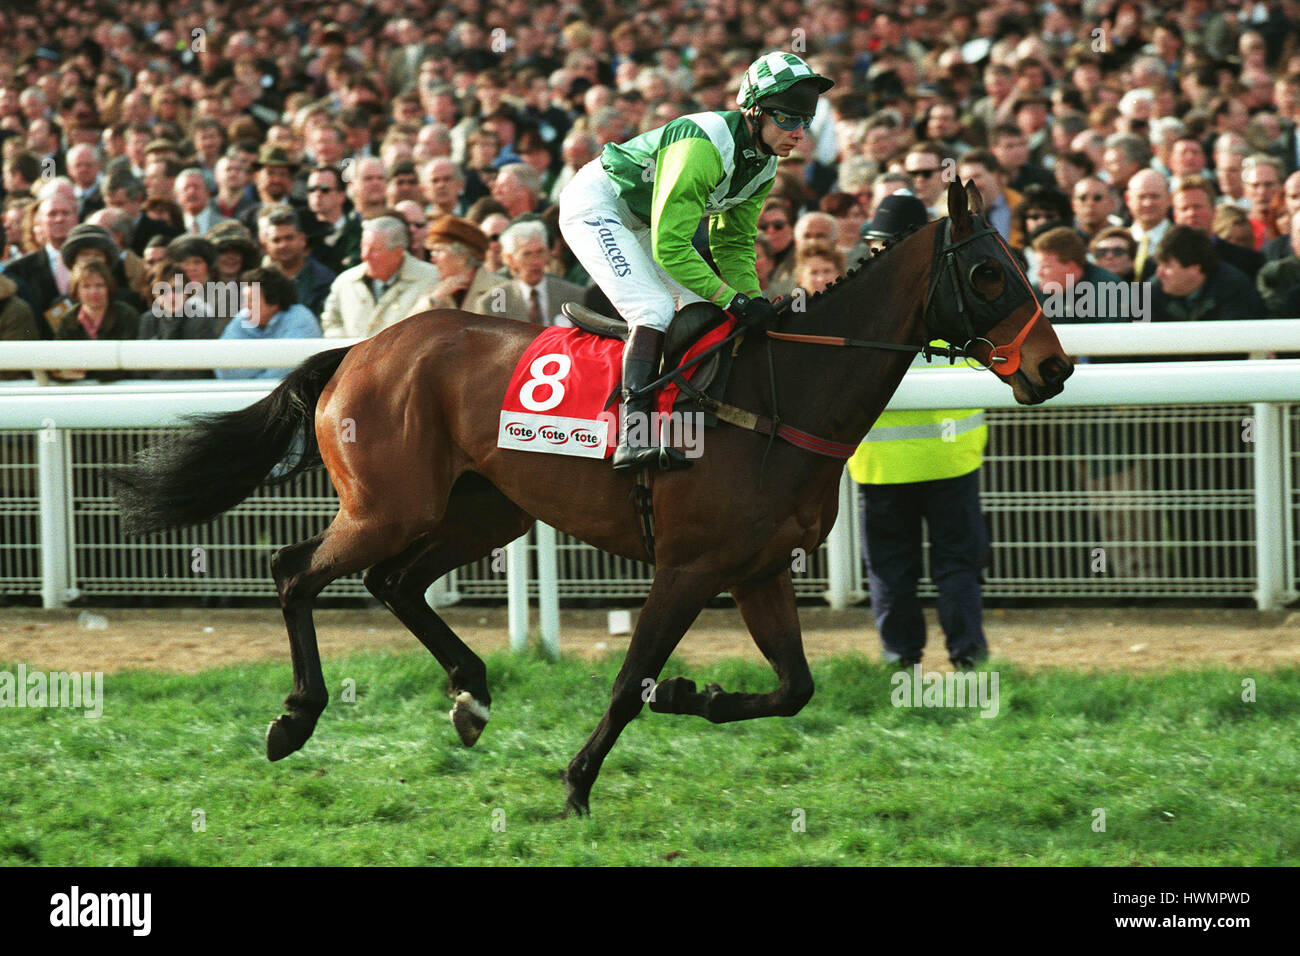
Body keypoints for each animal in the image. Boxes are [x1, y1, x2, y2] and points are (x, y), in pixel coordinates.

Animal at [111, 180, 1071, 816]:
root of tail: (361, 350)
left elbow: (793, 688)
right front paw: (577, 782)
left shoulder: (757, 571)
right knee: (294, 570)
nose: (1054, 367)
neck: (781, 397)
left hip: (483, 507)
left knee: (394, 583)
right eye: (989, 273)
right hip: (389, 506)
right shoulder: (688, 567)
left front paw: (693, 697)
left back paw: (471, 695)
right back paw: (296, 719)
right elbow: (627, 680)